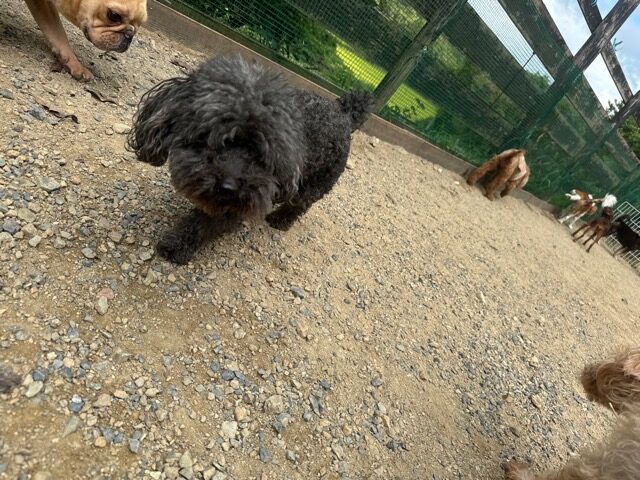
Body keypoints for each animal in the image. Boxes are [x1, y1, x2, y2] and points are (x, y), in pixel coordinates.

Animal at [128, 55, 372, 265]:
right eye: (214, 136)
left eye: (260, 154)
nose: (228, 186)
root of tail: (344, 114)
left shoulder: (242, 200)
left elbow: (202, 225)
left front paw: (177, 246)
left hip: (317, 182)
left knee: (299, 204)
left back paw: (280, 220)